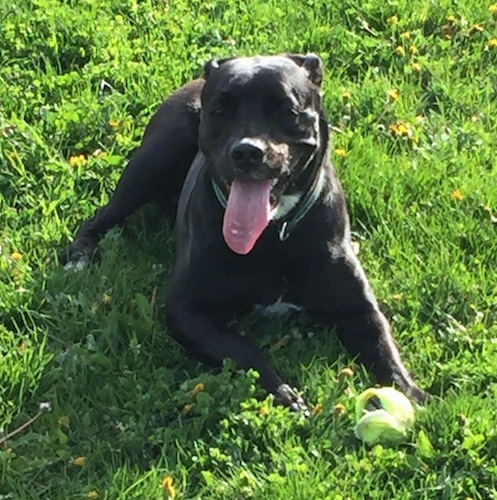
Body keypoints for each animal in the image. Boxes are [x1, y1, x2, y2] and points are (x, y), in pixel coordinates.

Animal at [61, 53, 426, 410]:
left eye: (287, 110)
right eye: (219, 112)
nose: (248, 151)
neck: (273, 234)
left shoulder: (358, 308)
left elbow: (384, 349)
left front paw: (412, 395)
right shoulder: (187, 311)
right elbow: (243, 350)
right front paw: (283, 392)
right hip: (153, 160)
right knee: (100, 217)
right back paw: (80, 255)